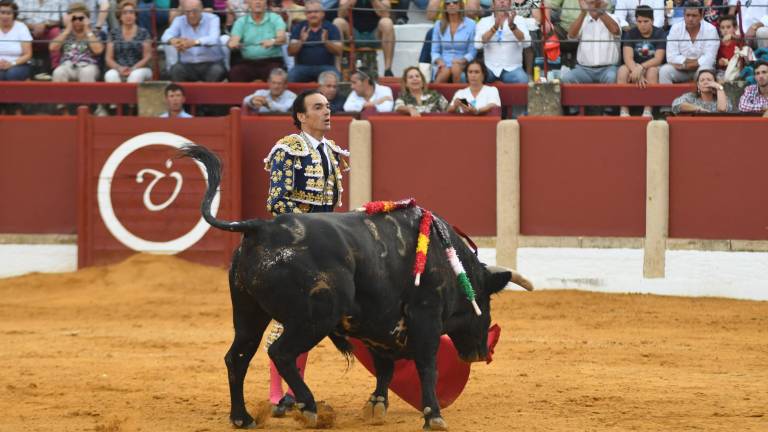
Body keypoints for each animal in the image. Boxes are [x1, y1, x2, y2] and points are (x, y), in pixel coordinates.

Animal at [180, 144, 532, 428]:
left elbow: (385, 368)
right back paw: (309, 408)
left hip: (248, 312)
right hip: (315, 317)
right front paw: (433, 415)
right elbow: (426, 364)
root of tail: (258, 228)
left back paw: (242, 417)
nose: (480, 353)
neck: (447, 261)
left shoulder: (381, 324)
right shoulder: (425, 315)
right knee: (280, 352)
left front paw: (377, 405)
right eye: (486, 304)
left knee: (238, 357)